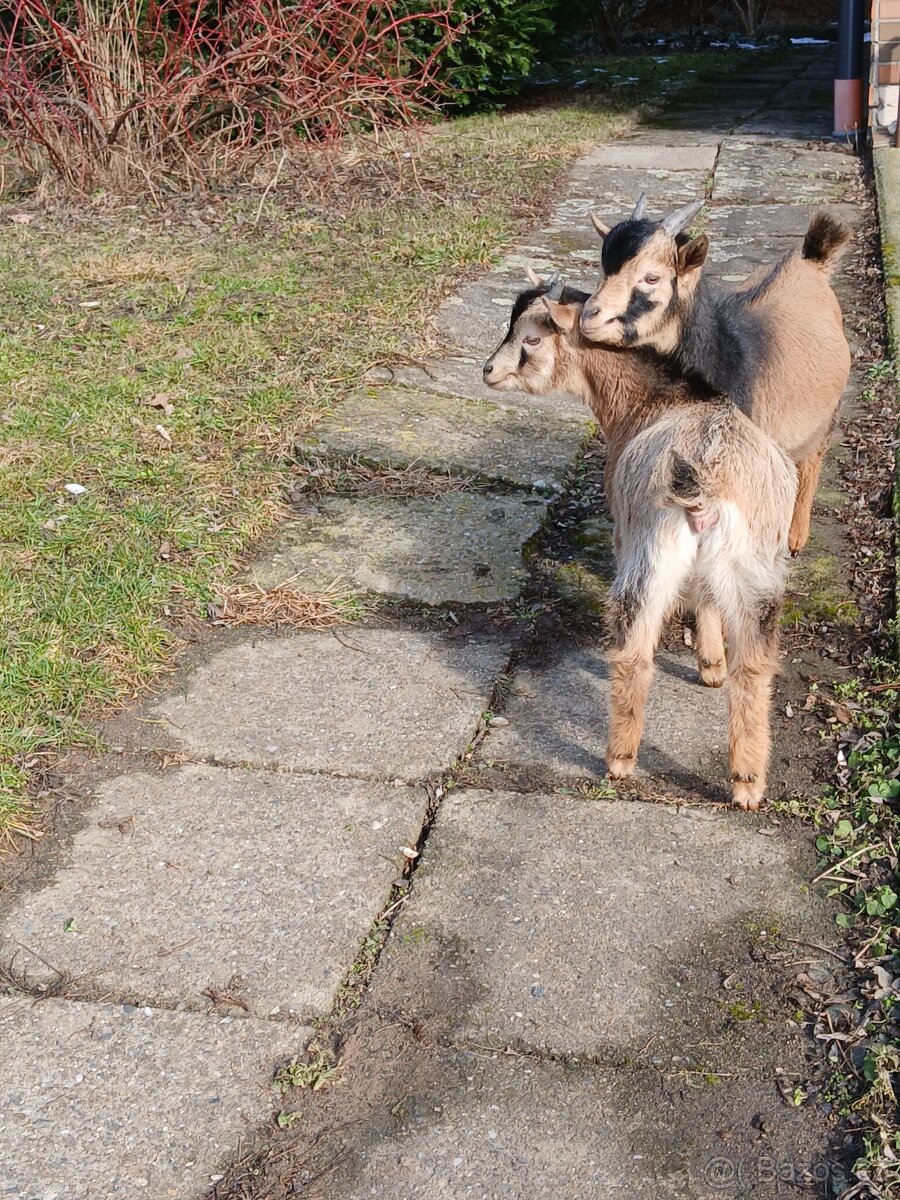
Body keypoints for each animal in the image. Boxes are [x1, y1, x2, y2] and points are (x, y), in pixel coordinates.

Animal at [482, 275, 797, 811]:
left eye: (532, 338)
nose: (487, 371)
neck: (654, 401)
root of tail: (706, 479)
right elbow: (706, 600)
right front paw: (710, 664)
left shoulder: (623, 528)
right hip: (755, 570)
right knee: (754, 668)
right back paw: (747, 780)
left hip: (649, 554)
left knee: (633, 652)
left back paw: (620, 759)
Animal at [579, 196, 851, 557]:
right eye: (604, 269)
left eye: (651, 278)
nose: (589, 316)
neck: (725, 353)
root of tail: (811, 260)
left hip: (827, 414)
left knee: (812, 460)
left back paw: (795, 537)